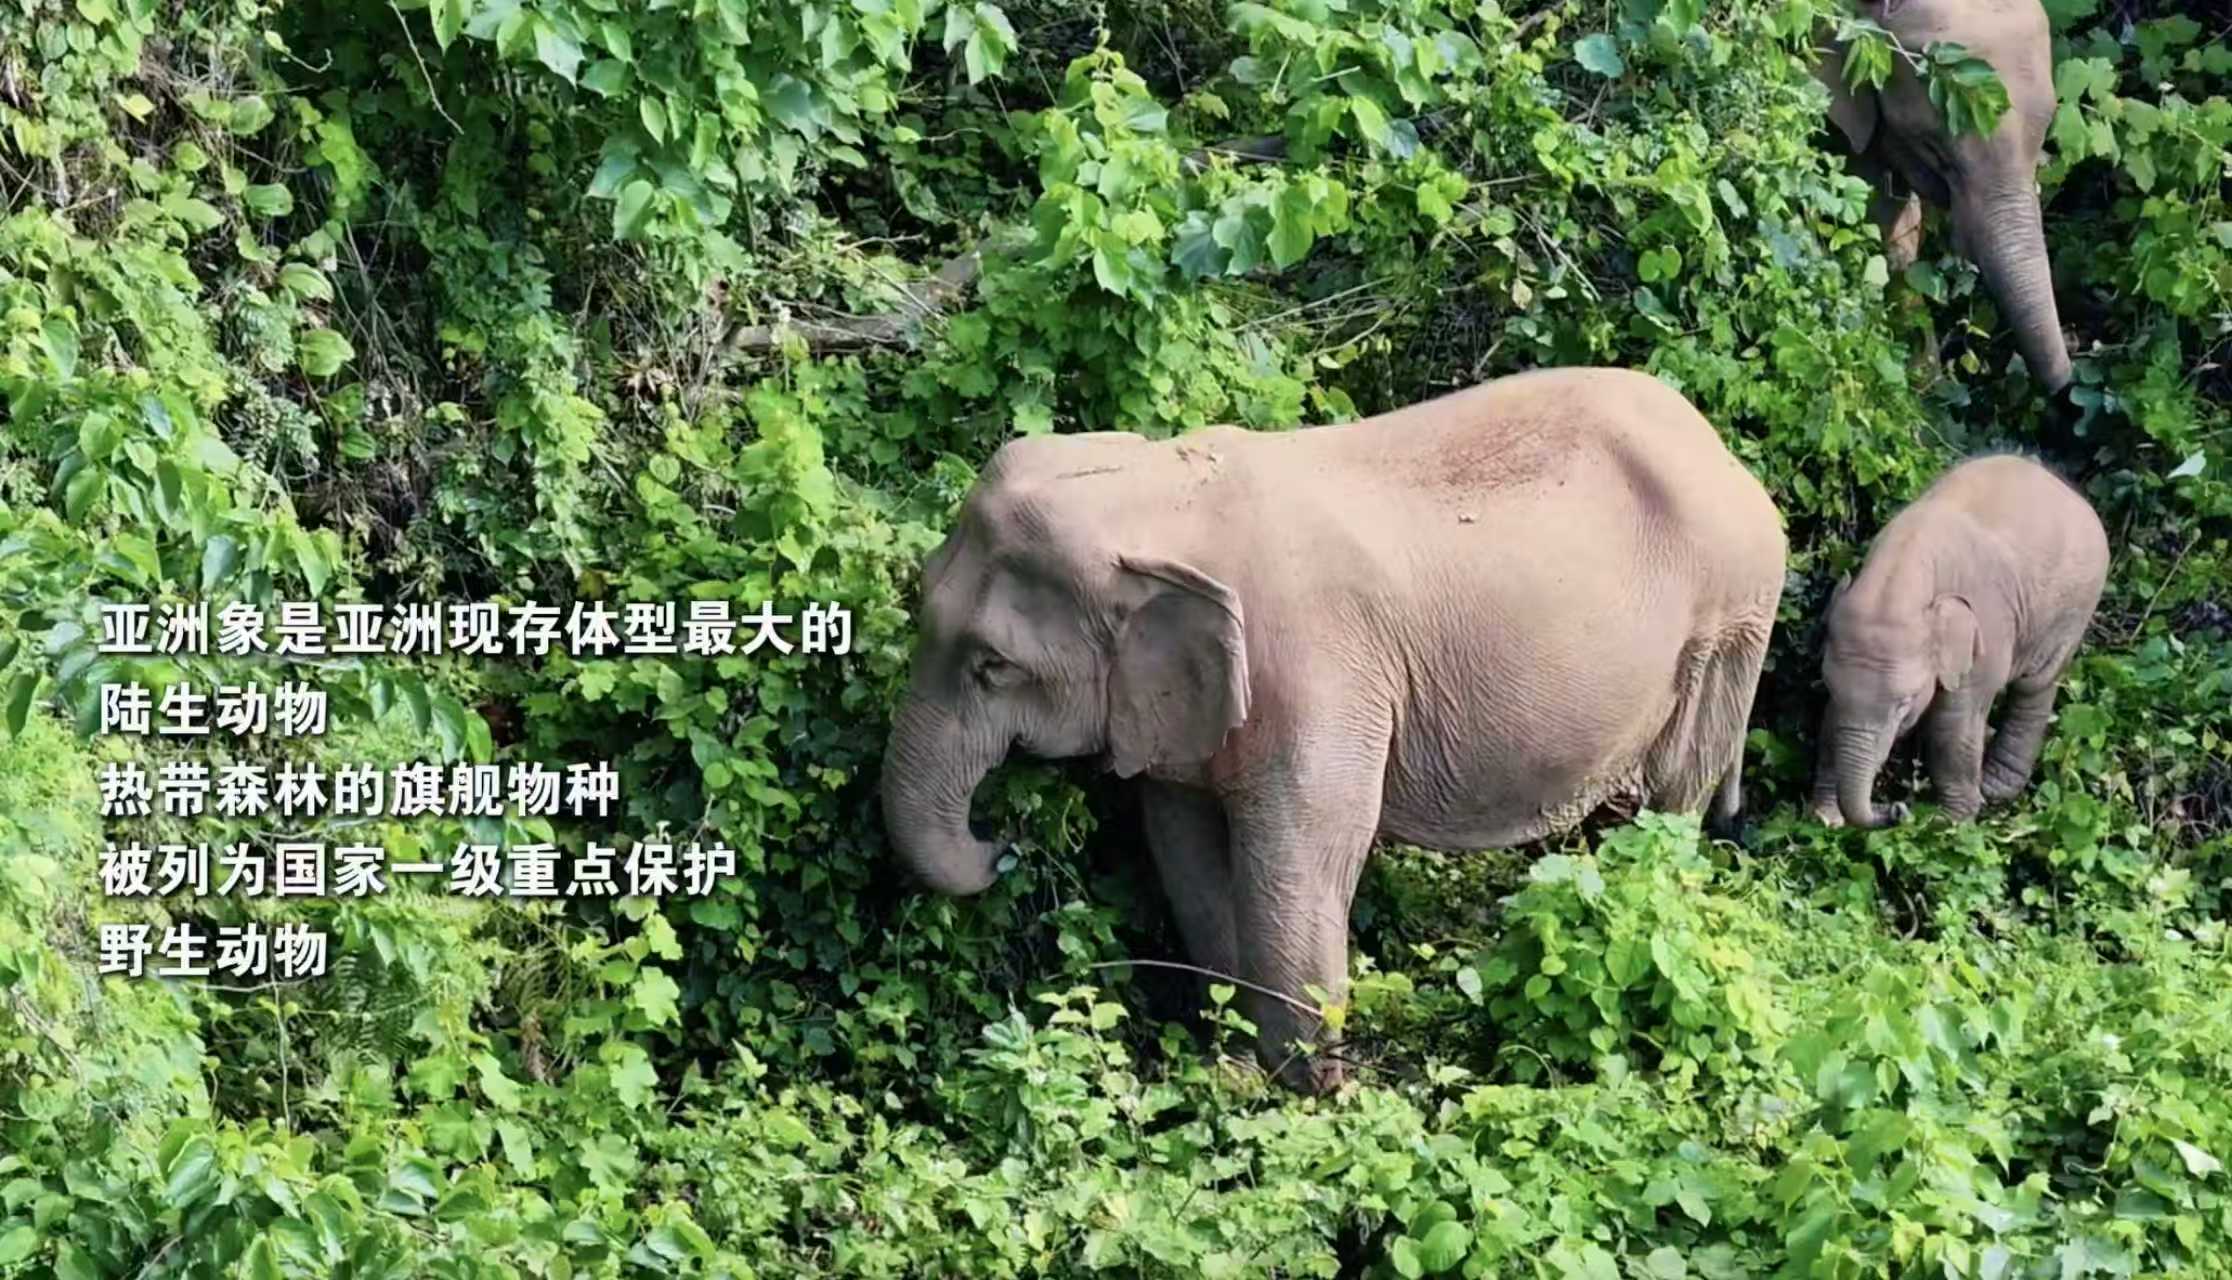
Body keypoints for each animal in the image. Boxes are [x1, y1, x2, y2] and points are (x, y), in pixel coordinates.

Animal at [878, 367, 1789, 1092]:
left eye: (992, 666)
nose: (1003, 844)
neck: (1166, 489)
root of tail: (1723, 452)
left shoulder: (1318, 672)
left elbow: (1305, 850)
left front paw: (1310, 1096)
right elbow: (1185, 845)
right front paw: (1234, 1068)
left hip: (1729, 627)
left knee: (1669, 802)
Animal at [1810, 453, 2108, 829]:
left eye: (1903, 704)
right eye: (1829, 686)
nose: (1898, 807)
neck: (1903, 570)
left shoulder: (1987, 632)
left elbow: (1954, 723)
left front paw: (1948, 825)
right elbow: (1830, 722)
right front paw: (1826, 819)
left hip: (2074, 608)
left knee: (2036, 686)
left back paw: (1995, 788)